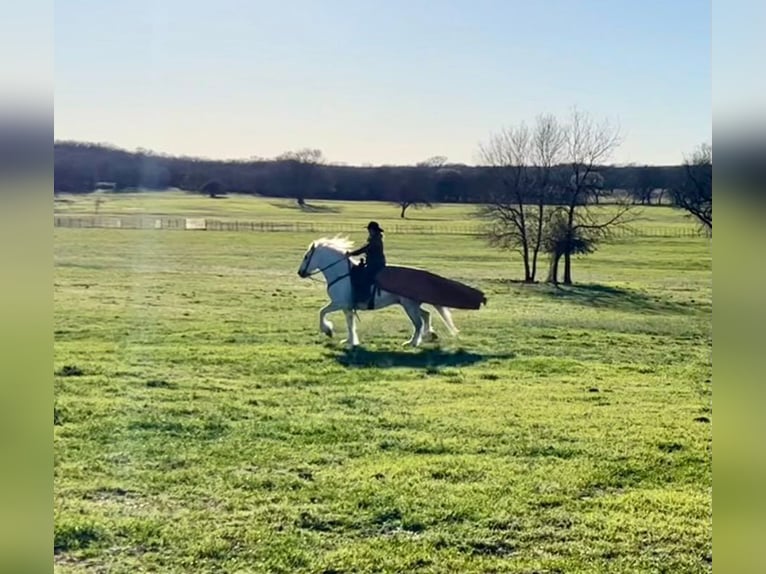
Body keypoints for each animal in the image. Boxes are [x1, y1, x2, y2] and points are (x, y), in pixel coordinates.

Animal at [298, 237, 456, 348]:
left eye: (306, 256)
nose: (300, 273)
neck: (341, 273)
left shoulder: (339, 303)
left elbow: (322, 312)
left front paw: (328, 330)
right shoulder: (347, 307)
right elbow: (350, 324)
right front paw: (350, 341)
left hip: (409, 306)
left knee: (418, 323)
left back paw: (412, 342)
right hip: (411, 305)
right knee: (426, 315)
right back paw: (430, 335)